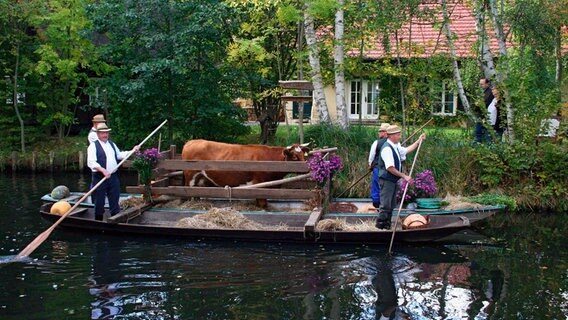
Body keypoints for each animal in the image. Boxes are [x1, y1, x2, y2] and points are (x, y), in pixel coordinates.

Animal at [181, 140, 310, 208]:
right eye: (294, 157)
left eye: (303, 155)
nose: (306, 168)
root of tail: (192, 141)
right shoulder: (260, 183)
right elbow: (262, 203)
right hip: (190, 176)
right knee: (188, 191)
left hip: (201, 178)